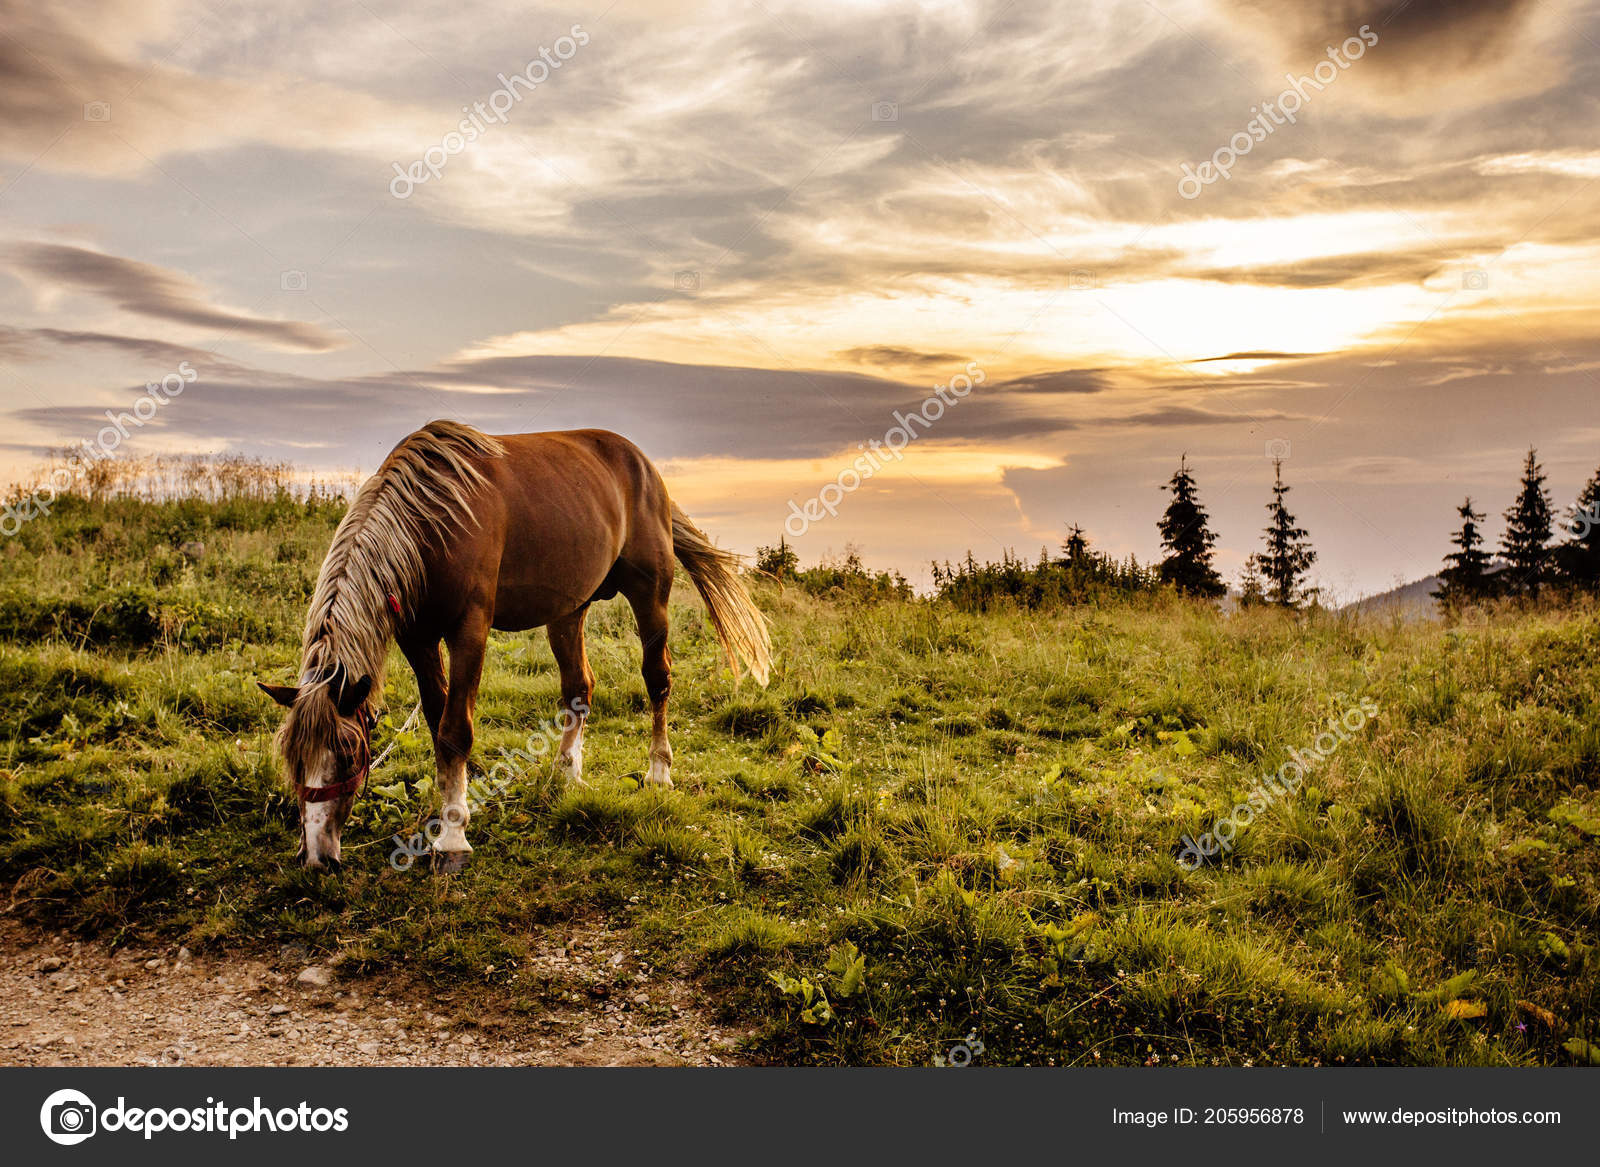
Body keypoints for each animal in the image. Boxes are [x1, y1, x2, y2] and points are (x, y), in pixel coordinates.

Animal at [257, 422, 768, 870]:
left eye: (347, 753)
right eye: (293, 759)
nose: (316, 858)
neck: (429, 524)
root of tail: (645, 467)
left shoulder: (469, 631)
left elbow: (455, 730)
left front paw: (454, 838)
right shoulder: (417, 638)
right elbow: (437, 722)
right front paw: (447, 815)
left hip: (651, 597)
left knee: (657, 680)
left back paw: (659, 772)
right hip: (569, 611)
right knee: (579, 687)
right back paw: (566, 772)